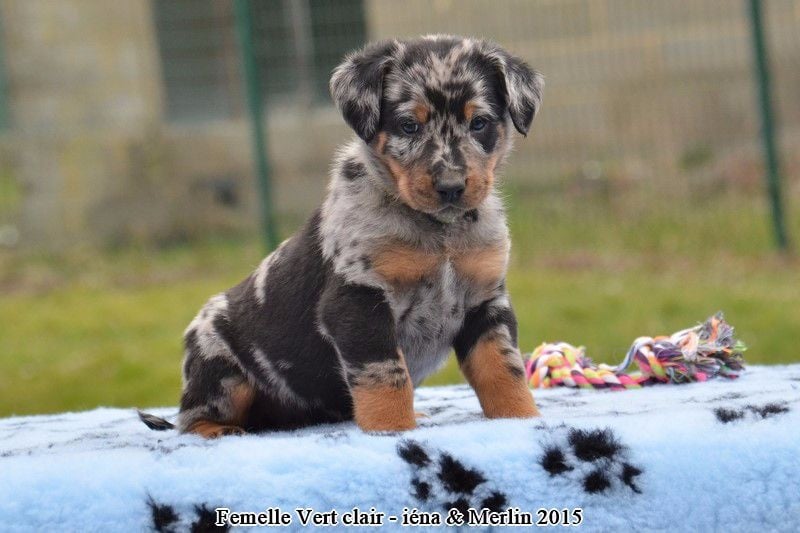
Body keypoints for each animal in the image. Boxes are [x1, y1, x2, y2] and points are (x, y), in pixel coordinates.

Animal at [146, 35, 544, 438]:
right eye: (408, 126)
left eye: (479, 123)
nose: (451, 186)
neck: (439, 233)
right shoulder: (359, 299)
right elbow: (386, 377)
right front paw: (394, 430)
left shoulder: (486, 301)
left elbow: (503, 370)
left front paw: (521, 419)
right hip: (220, 368)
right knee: (191, 418)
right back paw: (220, 431)